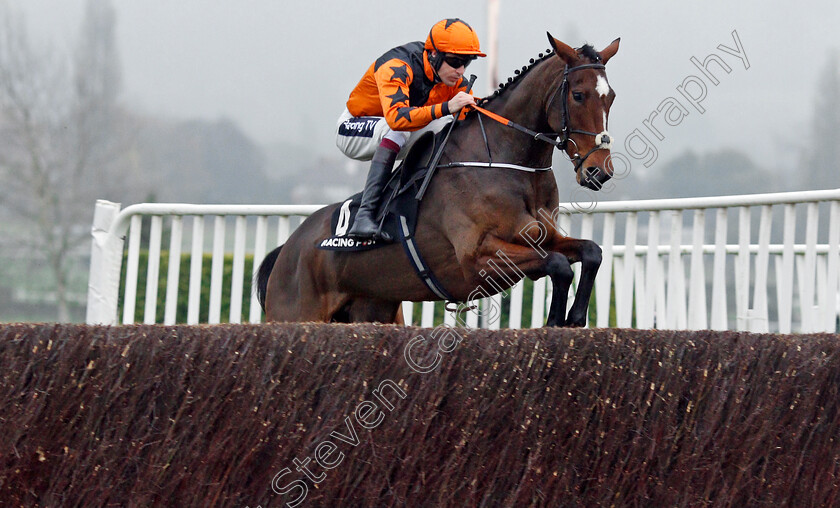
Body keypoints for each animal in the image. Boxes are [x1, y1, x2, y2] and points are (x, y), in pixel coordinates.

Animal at [260, 33, 620, 326]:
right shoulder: (478, 258)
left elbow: (590, 252)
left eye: (611, 96)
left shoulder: (542, 237)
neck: (504, 161)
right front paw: (556, 320)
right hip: (296, 313)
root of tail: (289, 248)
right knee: (393, 131)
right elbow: (558, 264)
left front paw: (574, 317)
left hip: (375, 310)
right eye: (578, 95)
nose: (599, 170)